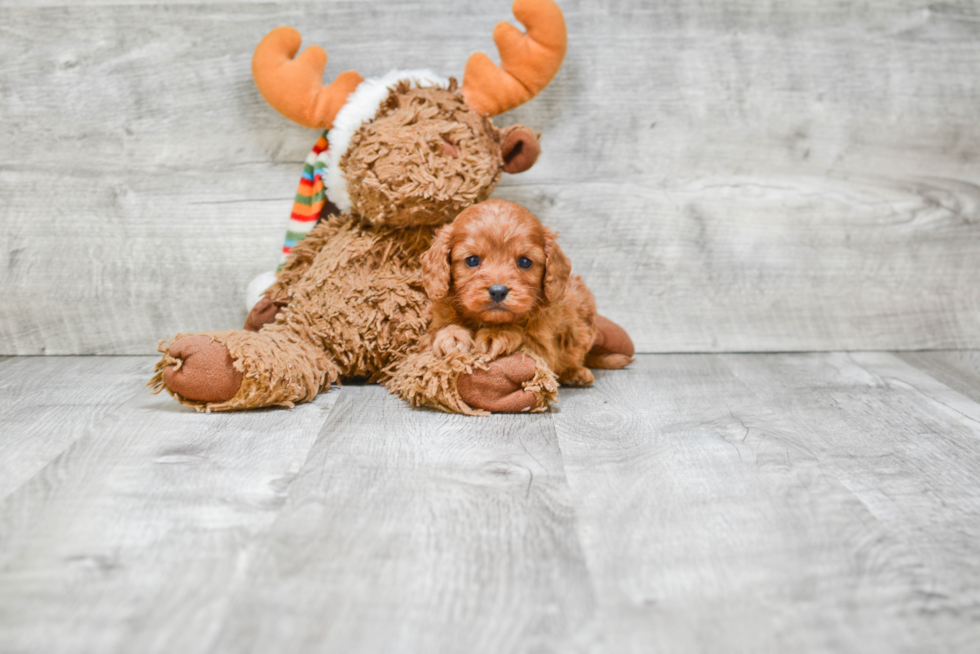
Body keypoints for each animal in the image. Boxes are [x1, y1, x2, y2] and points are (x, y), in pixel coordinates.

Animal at [420, 197, 632, 386]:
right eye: (472, 260)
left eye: (524, 261)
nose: (498, 291)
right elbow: (434, 334)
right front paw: (451, 335)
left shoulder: (545, 346)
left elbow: (525, 338)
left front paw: (498, 334)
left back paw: (576, 373)